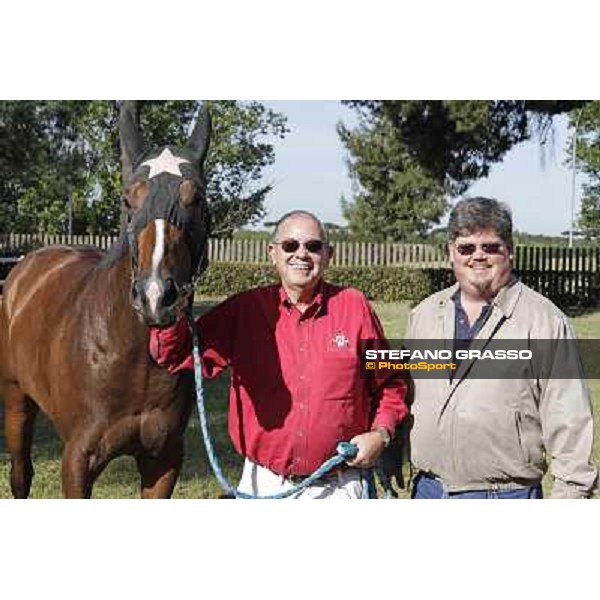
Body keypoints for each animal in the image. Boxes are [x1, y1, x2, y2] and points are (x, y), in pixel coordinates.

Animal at [0, 102, 211, 496]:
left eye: (198, 198)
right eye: (128, 198)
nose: (155, 296)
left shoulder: (163, 460)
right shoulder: (78, 460)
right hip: (17, 401)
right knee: (20, 474)